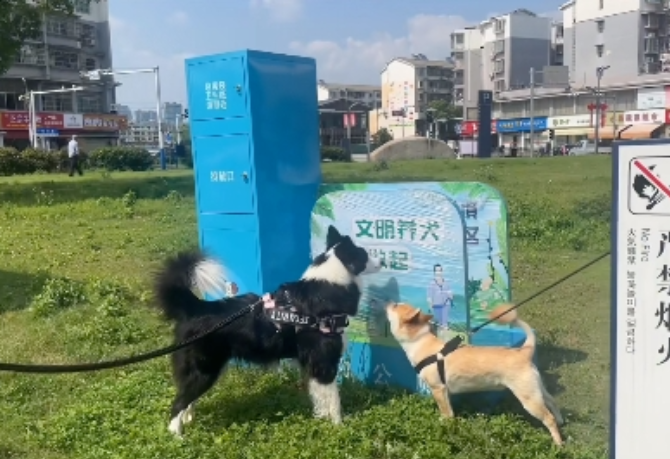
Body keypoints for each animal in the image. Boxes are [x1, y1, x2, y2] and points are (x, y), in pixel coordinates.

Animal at [154, 226, 380, 438]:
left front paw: (322, 419)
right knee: (178, 403)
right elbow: (333, 400)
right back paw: (177, 436)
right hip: (204, 369)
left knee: (186, 398)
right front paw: (339, 427)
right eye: (364, 254)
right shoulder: (323, 361)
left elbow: (319, 397)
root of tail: (197, 307)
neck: (328, 287)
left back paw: (189, 419)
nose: (382, 261)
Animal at [386, 304, 564, 448]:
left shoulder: (438, 389)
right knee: (552, 401)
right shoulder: (445, 391)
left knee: (548, 418)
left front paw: (444, 426)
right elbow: (450, 410)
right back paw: (561, 421)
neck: (420, 341)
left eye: (395, 306)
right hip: (536, 390)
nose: (388, 302)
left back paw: (558, 443)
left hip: (529, 399)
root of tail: (524, 352)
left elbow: (445, 413)